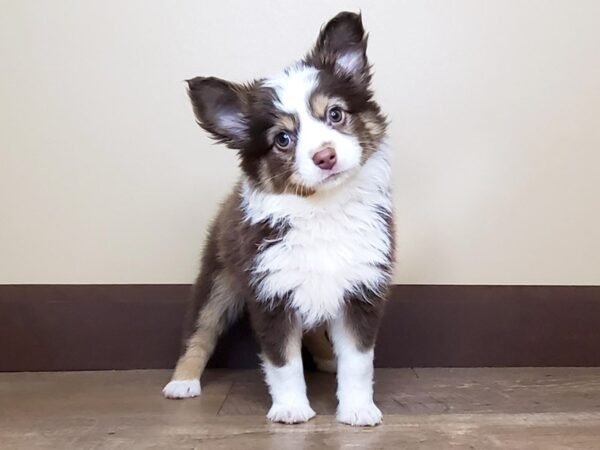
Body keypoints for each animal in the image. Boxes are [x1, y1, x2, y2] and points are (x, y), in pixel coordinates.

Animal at [162, 10, 394, 426]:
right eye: (282, 139)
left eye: (335, 114)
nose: (325, 157)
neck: (322, 210)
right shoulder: (270, 292)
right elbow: (283, 361)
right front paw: (290, 409)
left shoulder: (361, 288)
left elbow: (358, 361)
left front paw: (358, 409)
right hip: (219, 276)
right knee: (200, 329)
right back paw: (182, 382)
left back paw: (326, 359)